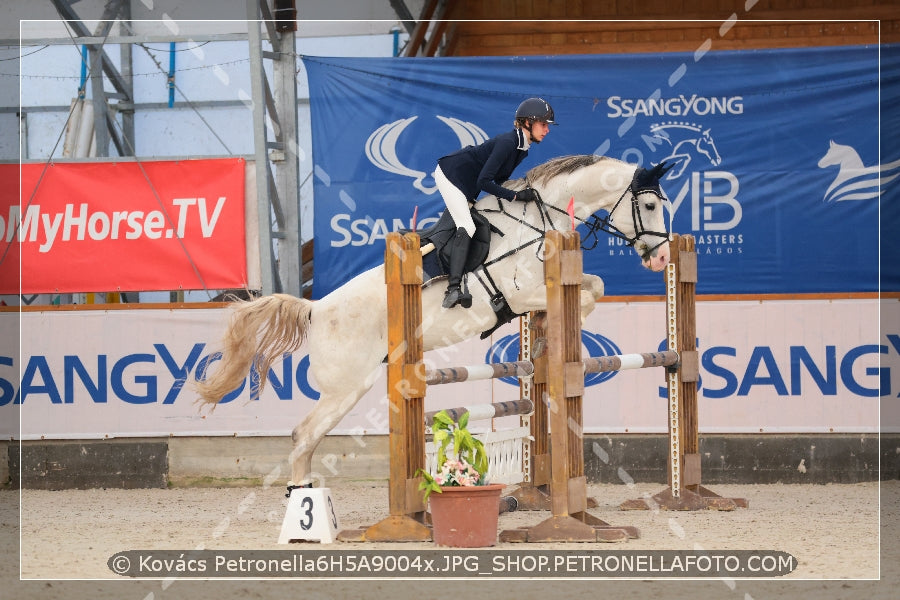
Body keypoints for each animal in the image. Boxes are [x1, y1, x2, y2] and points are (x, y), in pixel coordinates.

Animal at [199, 155, 676, 488]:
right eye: (650, 204)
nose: (661, 259)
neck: (537, 224)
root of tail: (316, 309)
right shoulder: (522, 293)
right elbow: (588, 293)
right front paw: (553, 340)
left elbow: (593, 286)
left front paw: (546, 340)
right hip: (346, 387)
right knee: (303, 435)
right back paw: (304, 511)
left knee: (306, 436)